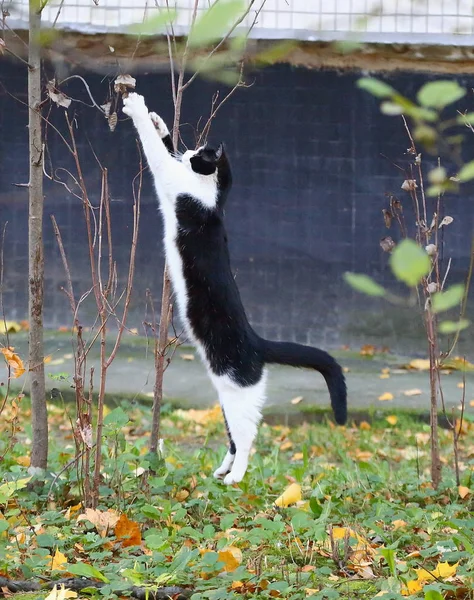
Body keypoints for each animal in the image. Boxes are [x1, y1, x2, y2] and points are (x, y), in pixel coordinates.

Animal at [120, 95, 346, 488]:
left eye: (199, 154)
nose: (188, 151)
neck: (215, 198)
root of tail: (257, 343)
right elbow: (163, 146)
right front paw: (159, 122)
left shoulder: (173, 182)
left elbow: (156, 154)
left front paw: (137, 109)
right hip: (225, 396)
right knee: (234, 438)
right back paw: (223, 469)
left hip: (239, 391)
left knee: (248, 436)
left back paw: (235, 477)